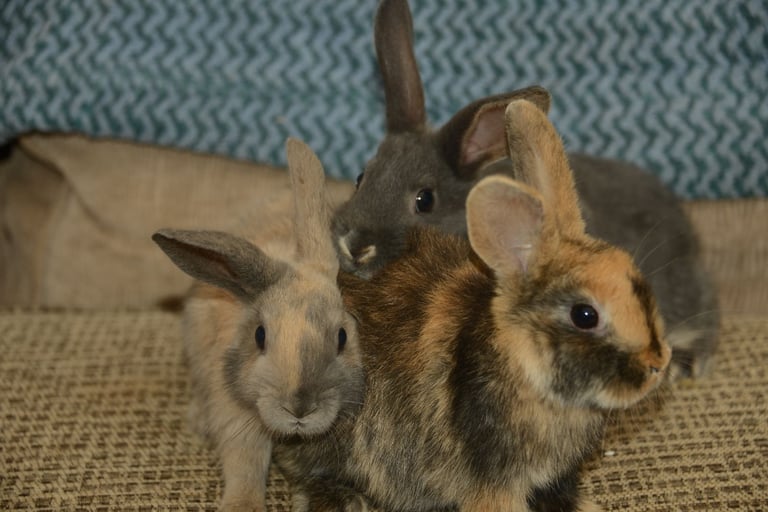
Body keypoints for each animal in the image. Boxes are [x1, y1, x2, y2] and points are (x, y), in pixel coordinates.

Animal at [152, 139, 365, 512]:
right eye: (260, 335)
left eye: (341, 337)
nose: (299, 410)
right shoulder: (235, 413)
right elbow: (245, 461)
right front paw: (241, 505)